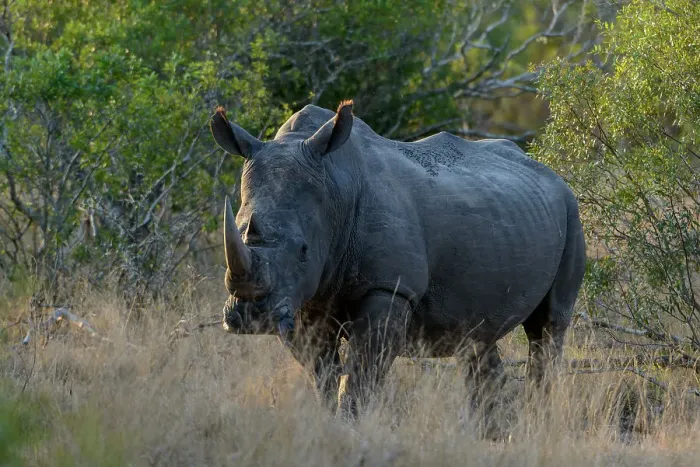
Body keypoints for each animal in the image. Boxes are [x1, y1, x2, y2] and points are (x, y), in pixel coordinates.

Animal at [210, 100, 586, 418]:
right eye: (236, 233)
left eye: (303, 251)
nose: (251, 316)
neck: (334, 187)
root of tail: (550, 171)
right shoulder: (304, 298)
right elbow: (322, 371)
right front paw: (328, 421)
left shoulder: (389, 286)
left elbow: (363, 368)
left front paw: (349, 424)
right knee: (476, 339)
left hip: (570, 213)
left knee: (548, 326)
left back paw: (534, 423)